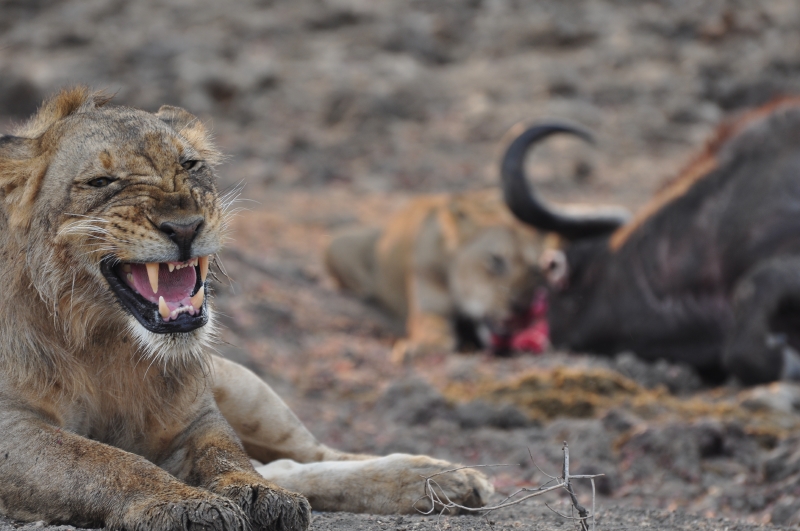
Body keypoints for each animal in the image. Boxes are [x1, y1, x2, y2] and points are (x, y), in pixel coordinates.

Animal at [0, 88, 492, 530]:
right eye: (101, 183)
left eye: (190, 165)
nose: (185, 227)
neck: (104, 342)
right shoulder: (12, 428)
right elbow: (104, 461)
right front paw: (181, 504)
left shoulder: (194, 415)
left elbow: (225, 454)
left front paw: (257, 494)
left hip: (245, 386)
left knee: (308, 457)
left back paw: (441, 478)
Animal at [325, 188, 555, 360]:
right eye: (495, 260)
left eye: (534, 268)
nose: (519, 307)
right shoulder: (429, 307)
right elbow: (432, 329)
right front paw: (420, 347)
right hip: (338, 243)